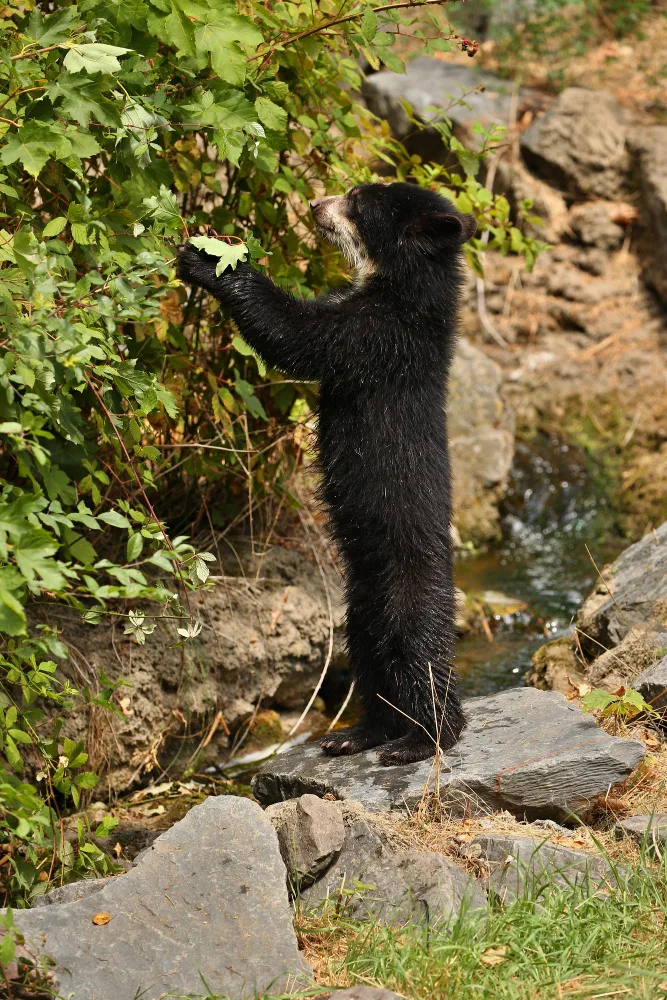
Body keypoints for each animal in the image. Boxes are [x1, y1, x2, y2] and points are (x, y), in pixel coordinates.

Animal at [178, 181, 476, 765]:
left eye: (358, 201)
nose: (315, 205)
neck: (401, 287)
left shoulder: (378, 336)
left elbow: (298, 336)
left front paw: (209, 259)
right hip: (359, 608)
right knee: (370, 664)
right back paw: (353, 735)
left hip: (407, 592)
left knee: (420, 659)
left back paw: (420, 741)